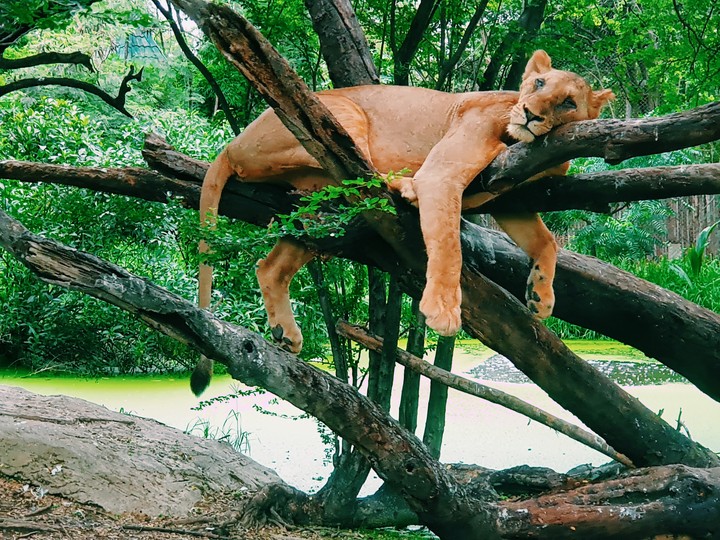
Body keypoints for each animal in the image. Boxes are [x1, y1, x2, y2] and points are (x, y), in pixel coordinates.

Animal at [191, 50, 614, 394]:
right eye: (538, 84)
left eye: (568, 103)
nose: (530, 114)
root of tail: (230, 145)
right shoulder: (443, 174)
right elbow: (449, 245)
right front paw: (442, 309)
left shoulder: (510, 200)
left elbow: (546, 241)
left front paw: (540, 296)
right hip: (336, 112)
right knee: (359, 171)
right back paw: (404, 186)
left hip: (318, 211)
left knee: (272, 265)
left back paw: (285, 333)